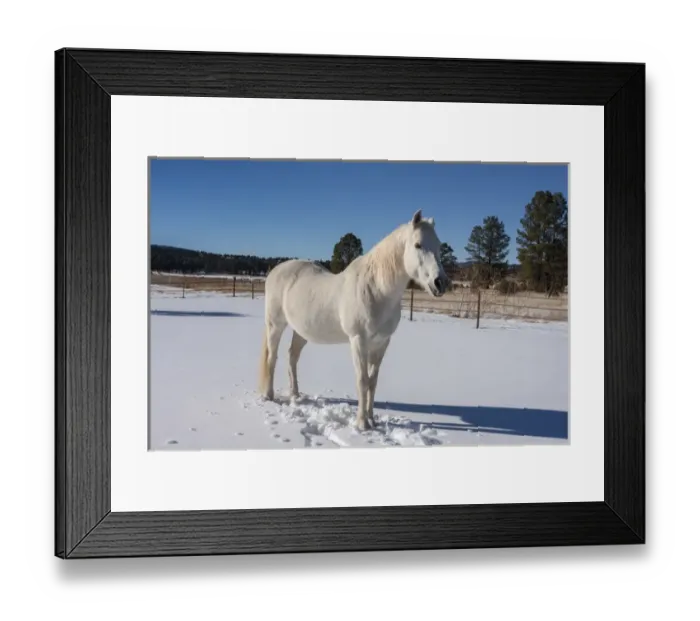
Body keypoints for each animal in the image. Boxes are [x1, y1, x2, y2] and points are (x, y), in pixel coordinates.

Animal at [258, 210, 449, 431]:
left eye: (438, 245)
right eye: (418, 244)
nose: (440, 283)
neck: (376, 290)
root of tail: (275, 271)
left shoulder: (382, 343)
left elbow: (373, 382)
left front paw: (372, 420)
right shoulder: (359, 341)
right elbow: (362, 381)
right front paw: (362, 424)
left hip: (301, 332)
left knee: (292, 357)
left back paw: (295, 395)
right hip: (275, 325)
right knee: (272, 358)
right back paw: (269, 396)